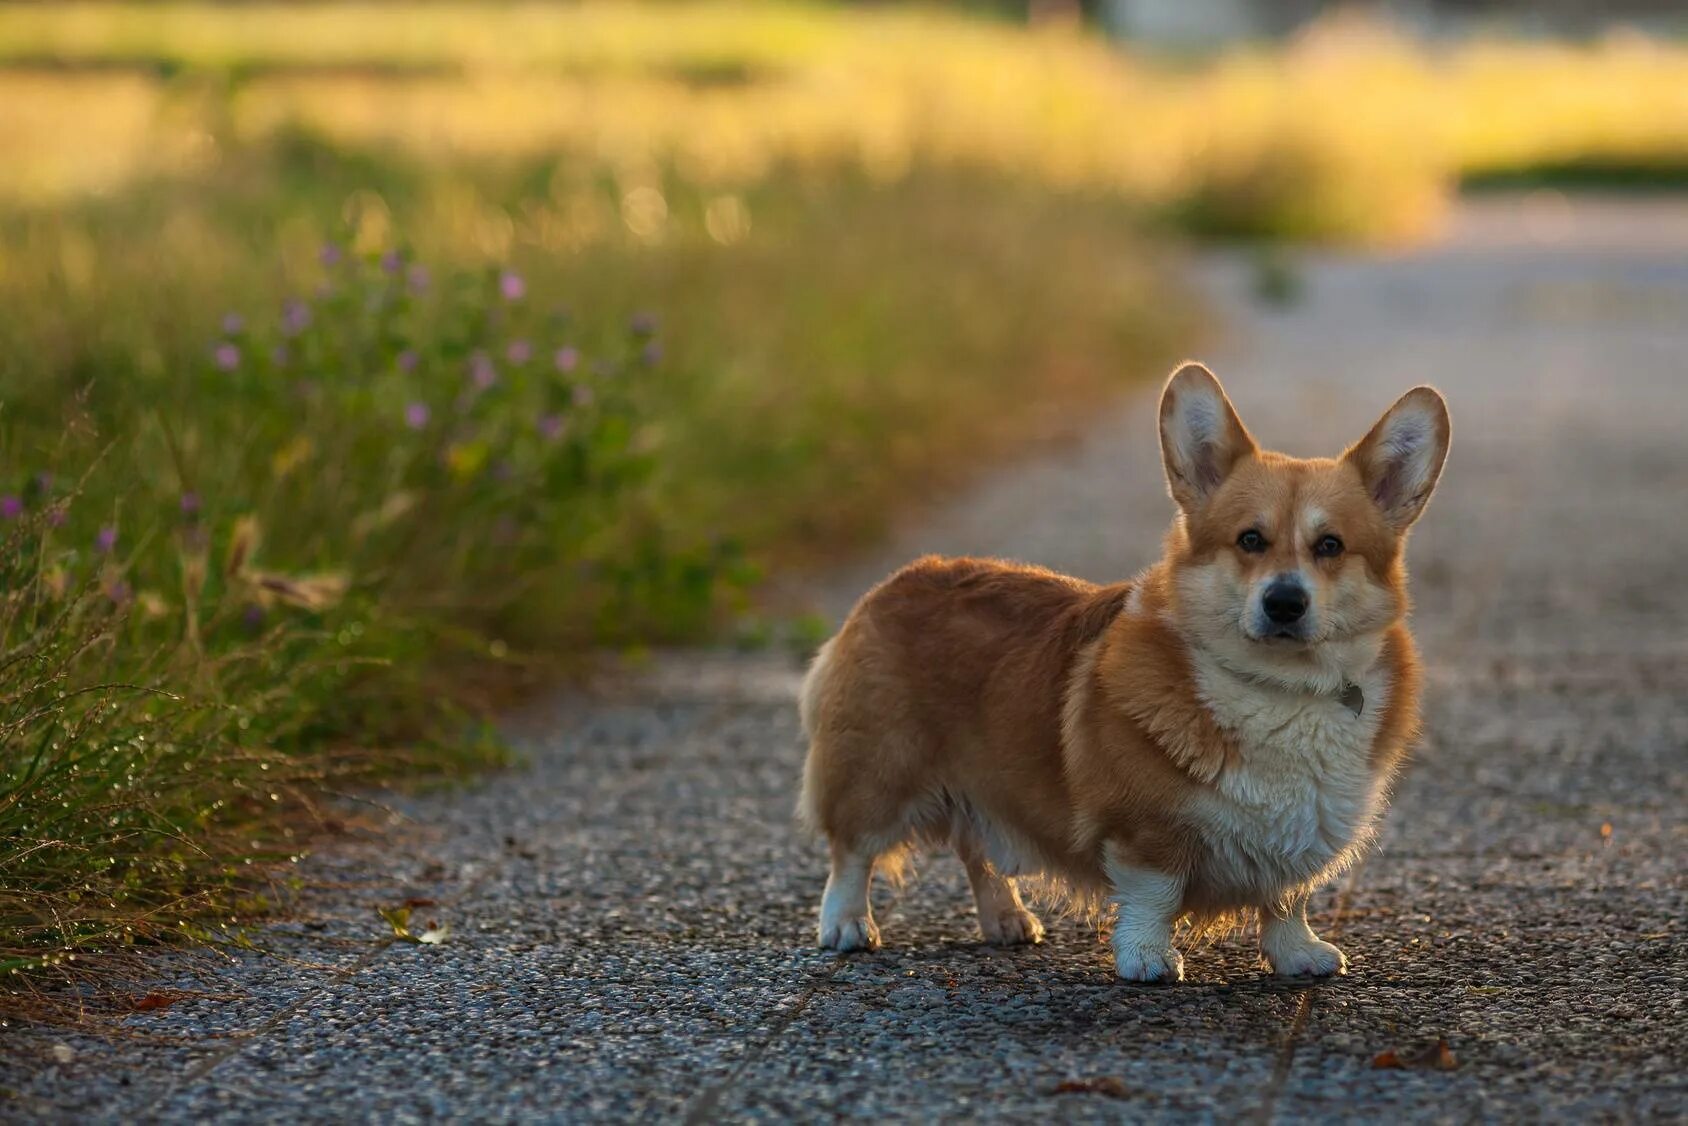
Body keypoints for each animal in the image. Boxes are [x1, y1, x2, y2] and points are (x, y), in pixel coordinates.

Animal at [800, 362, 1451, 979]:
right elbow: (1154, 897)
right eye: (1250, 539)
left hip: (986, 779)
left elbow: (1287, 901)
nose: (1284, 603)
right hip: (878, 773)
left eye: (1330, 546)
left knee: (978, 849)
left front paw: (1298, 954)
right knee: (851, 852)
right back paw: (846, 925)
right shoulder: (1145, 831)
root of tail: (898, 580)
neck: (1281, 689)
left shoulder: (1297, 839)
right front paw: (1147, 959)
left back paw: (1006, 918)